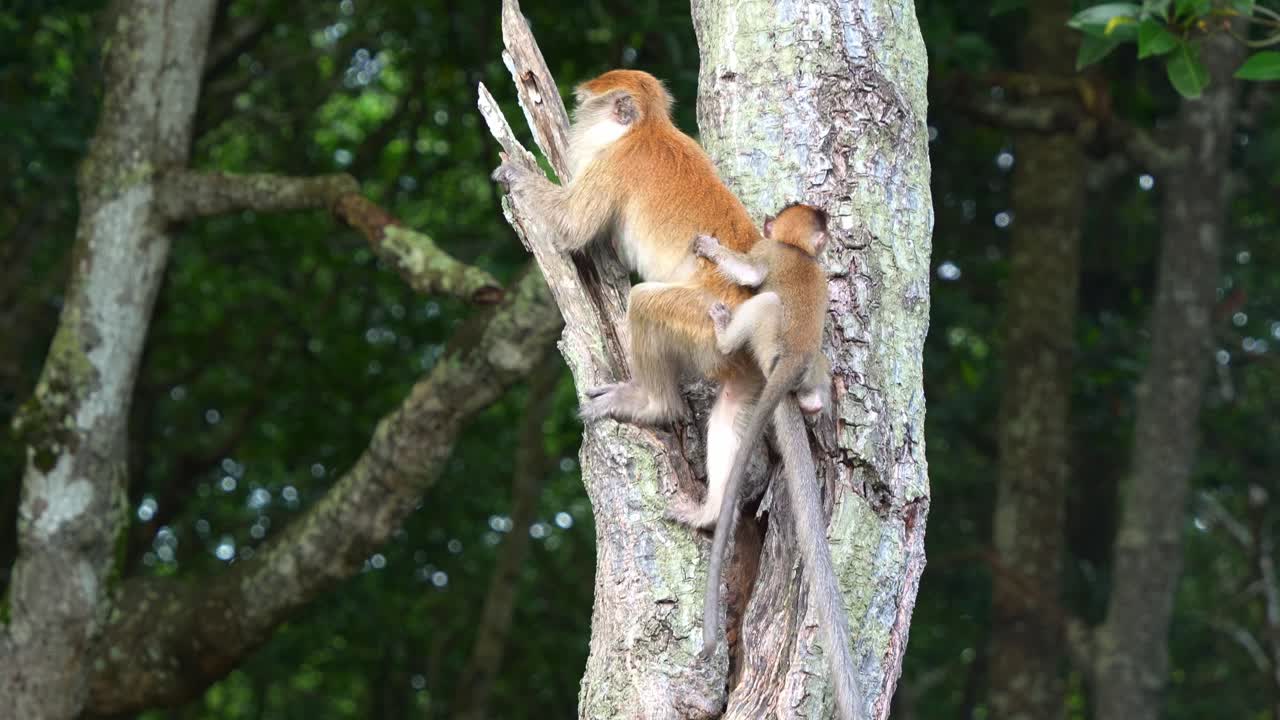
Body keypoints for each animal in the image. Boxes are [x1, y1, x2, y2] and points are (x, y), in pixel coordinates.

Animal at [693, 204, 862, 720]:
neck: (795, 251)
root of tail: (789, 364)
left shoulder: (767, 253)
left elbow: (750, 272)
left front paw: (710, 248)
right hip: (811, 366)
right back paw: (813, 403)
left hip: (766, 330)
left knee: (762, 303)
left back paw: (726, 333)